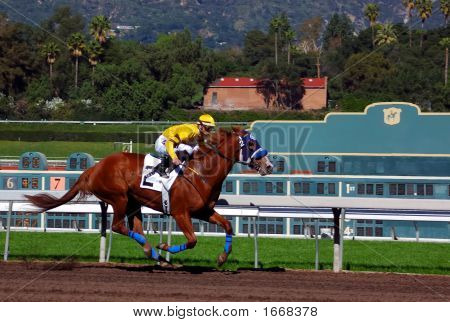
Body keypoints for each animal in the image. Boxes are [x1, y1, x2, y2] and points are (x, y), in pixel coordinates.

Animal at [26, 128, 272, 266]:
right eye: (251, 143)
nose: (269, 165)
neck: (200, 173)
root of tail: (94, 168)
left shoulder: (204, 211)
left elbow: (228, 226)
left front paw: (222, 258)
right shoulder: (180, 212)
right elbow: (192, 240)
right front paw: (164, 246)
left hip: (134, 203)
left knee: (135, 228)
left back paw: (153, 254)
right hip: (119, 198)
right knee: (118, 226)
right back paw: (156, 252)